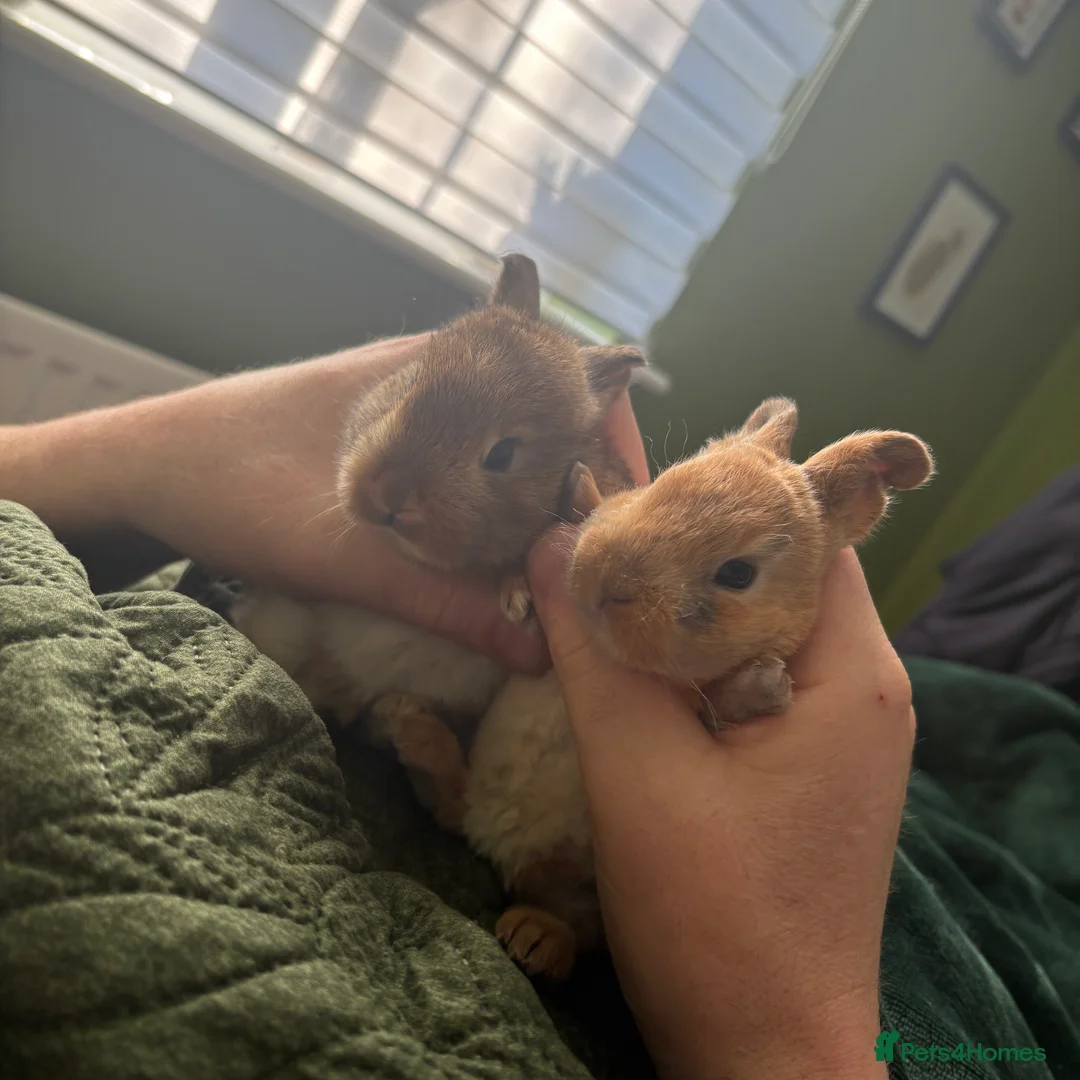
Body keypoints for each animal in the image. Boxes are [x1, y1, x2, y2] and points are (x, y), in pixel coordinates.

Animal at [382, 397, 933, 977]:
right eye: (661, 483)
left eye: (739, 574)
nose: (606, 577)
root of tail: (494, 840)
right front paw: (566, 512)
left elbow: (716, 706)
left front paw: (763, 686)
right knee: (450, 805)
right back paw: (411, 727)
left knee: (572, 921)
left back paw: (536, 936)